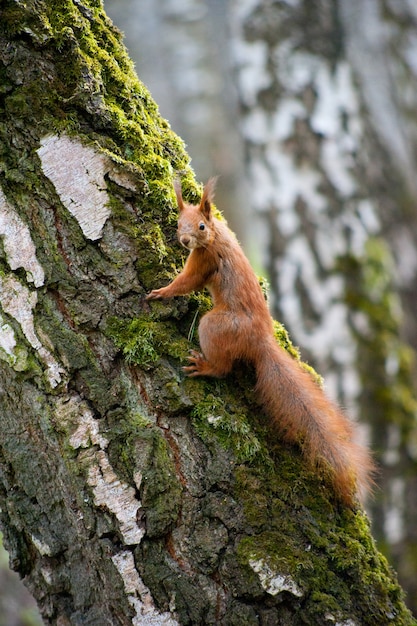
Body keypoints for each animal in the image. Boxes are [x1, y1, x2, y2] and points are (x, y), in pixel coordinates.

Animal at [147, 178, 374, 504]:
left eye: (201, 226)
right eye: (179, 223)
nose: (185, 240)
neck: (216, 236)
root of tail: (260, 341)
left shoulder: (205, 259)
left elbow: (187, 282)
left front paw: (162, 292)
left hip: (215, 326)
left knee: (223, 367)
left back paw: (204, 367)